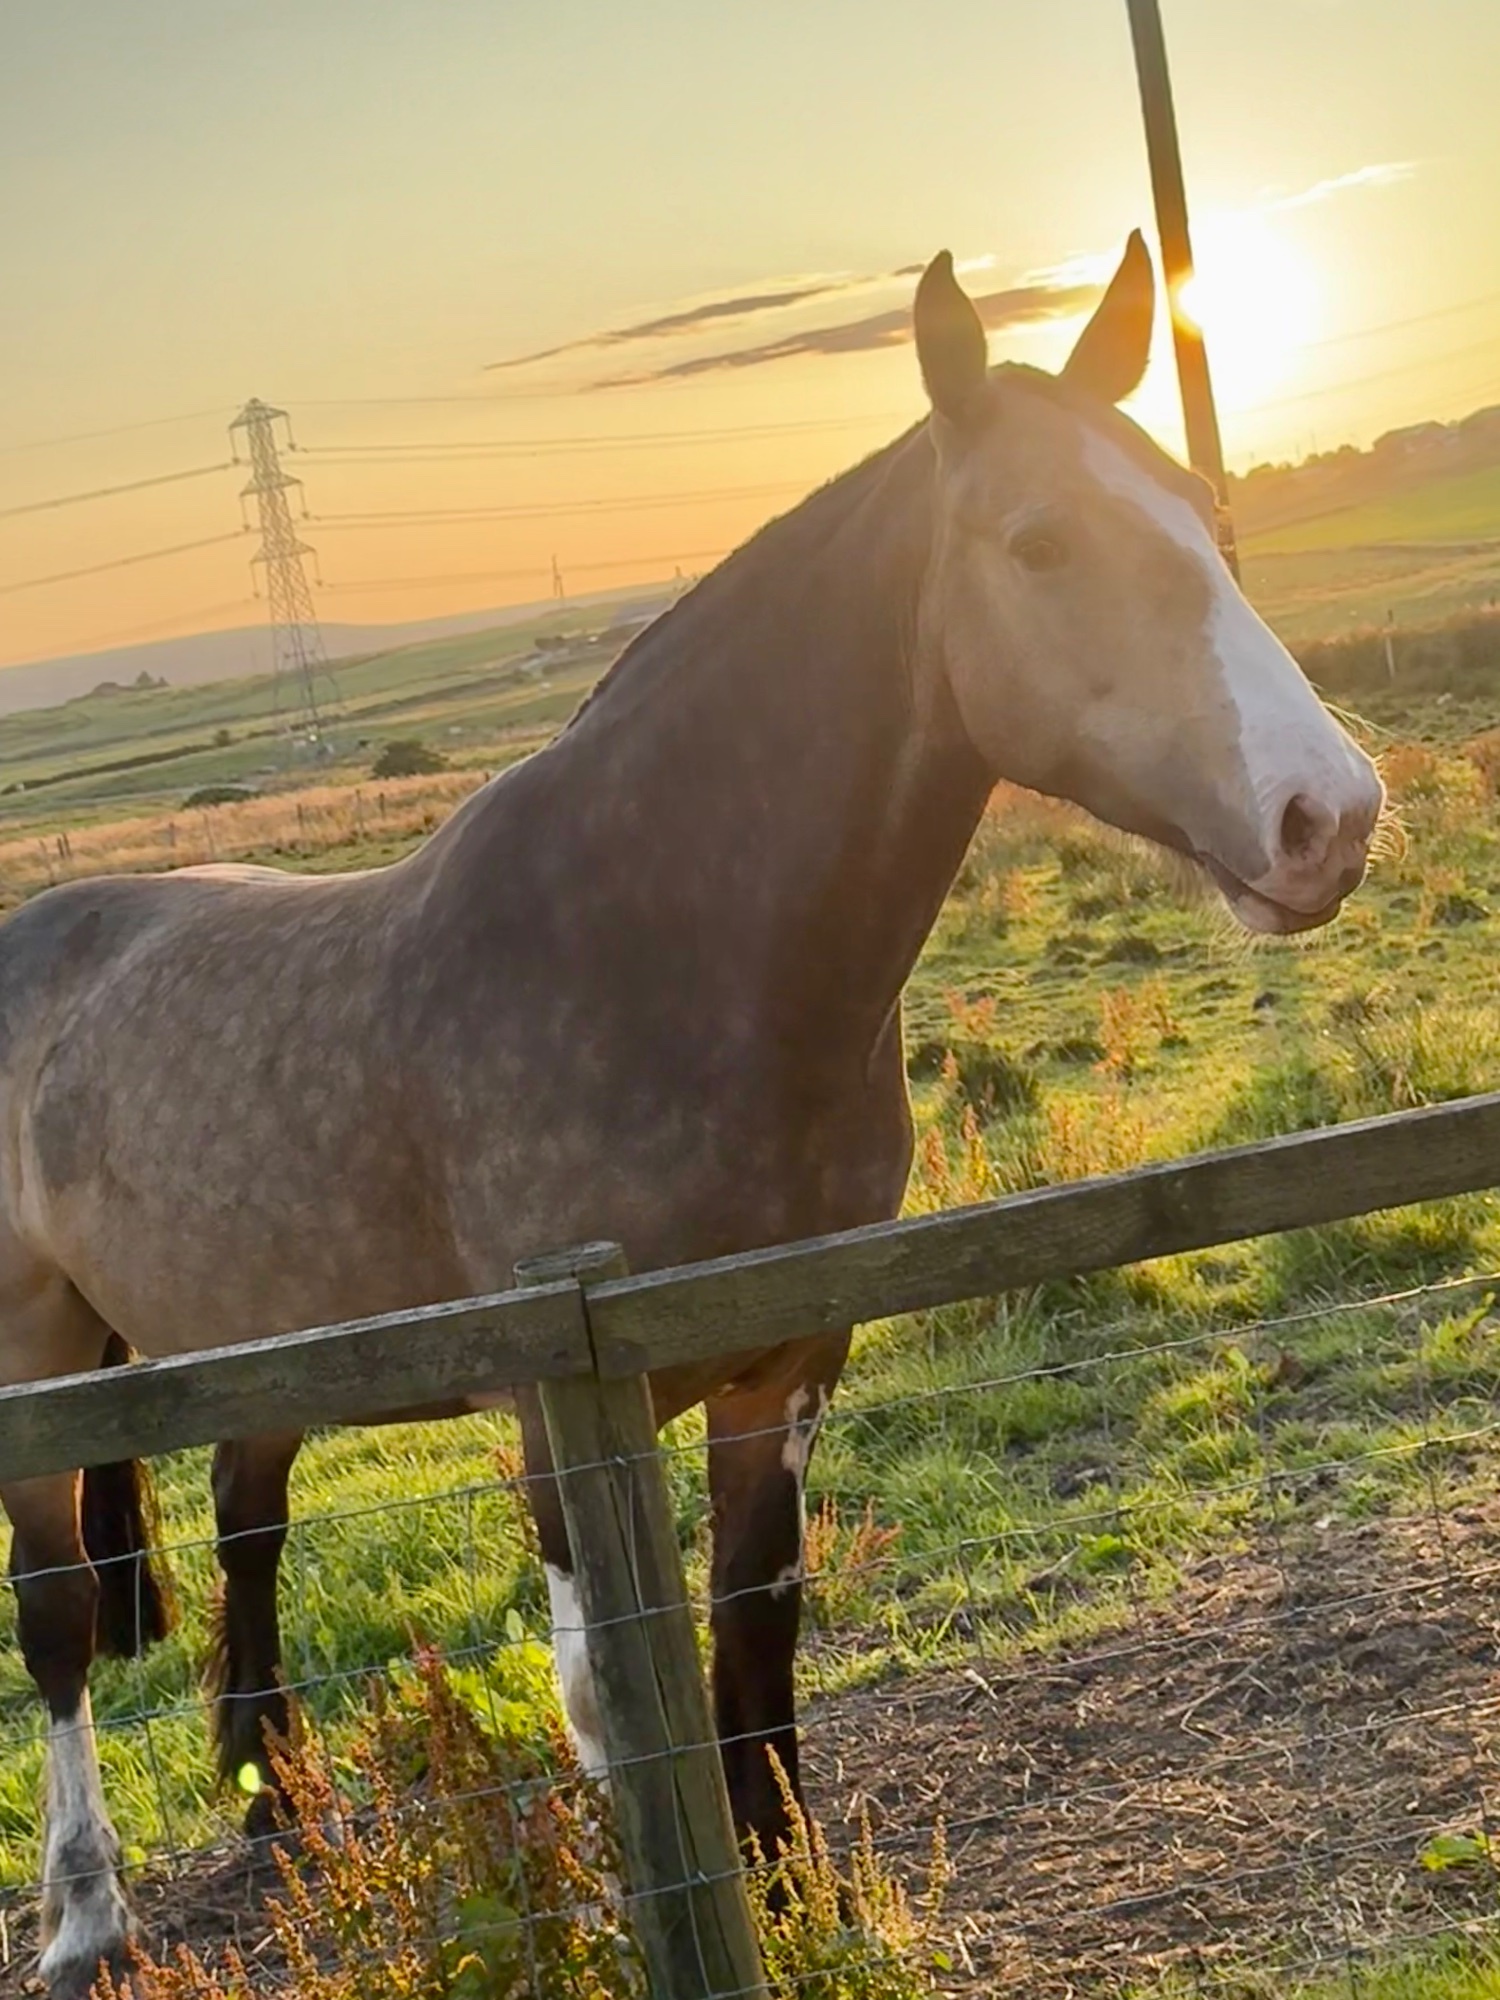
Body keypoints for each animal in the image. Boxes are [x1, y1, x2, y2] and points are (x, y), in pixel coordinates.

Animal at [0, 231, 1382, 1998]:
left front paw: (790, 1891)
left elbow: (752, 1638)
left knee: (248, 1528)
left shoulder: (782, 1364)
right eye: (1039, 539)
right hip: (38, 1357)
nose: (1328, 815)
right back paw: (84, 1911)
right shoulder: (559, 1408)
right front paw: (639, 1903)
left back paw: (274, 1801)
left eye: (1210, 514)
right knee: (54, 1618)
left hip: (253, 1337)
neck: (658, 951)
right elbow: (615, 1696)